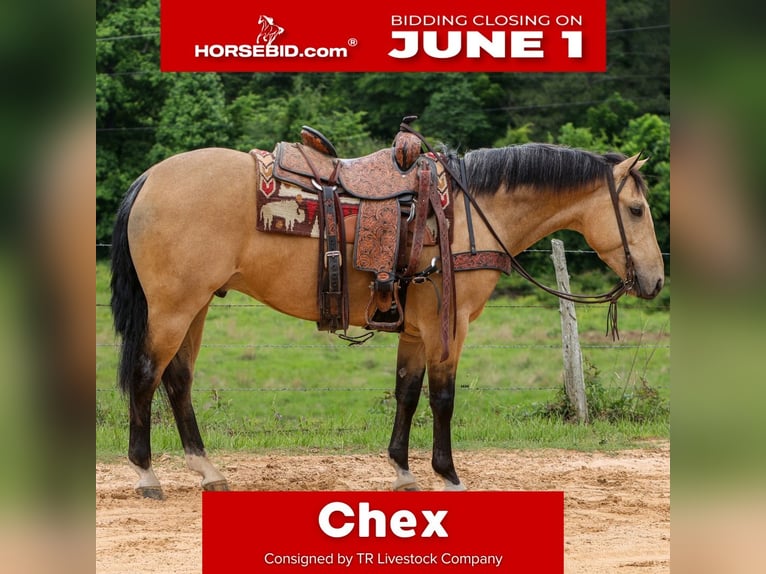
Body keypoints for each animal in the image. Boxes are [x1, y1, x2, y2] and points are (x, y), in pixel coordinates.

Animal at [110, 138, 665, 499]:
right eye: (637, 210)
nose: (656, 280)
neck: (466, 214)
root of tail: (150, 177)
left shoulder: (415, 331)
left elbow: (407, 393)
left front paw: (403, 471)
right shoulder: (448, 326)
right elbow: (442, 399)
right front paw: (448, 474)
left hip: (196, 306)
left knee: (177, 380)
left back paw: (208, 471)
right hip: (173, 309)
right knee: (146, 375)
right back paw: (146, 475)